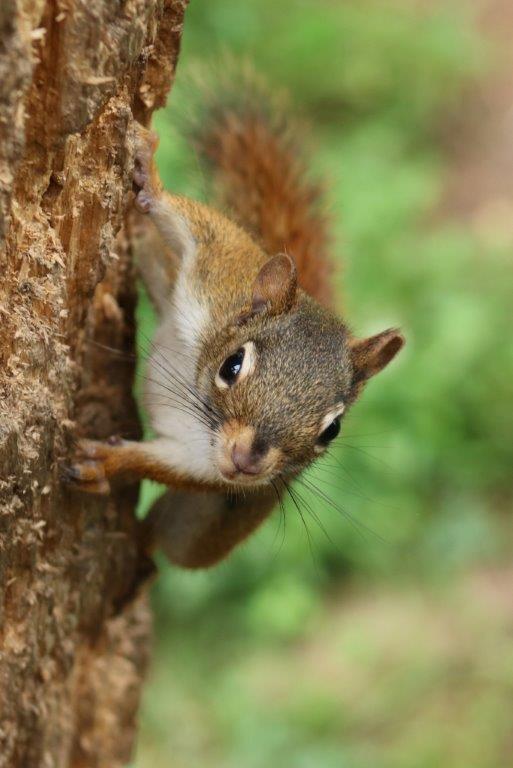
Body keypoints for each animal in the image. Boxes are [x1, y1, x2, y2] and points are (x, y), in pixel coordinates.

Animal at [69, 78, 404, 568]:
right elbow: (196, 223)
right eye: (232, 365)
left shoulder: (200, 464)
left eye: (332, 430)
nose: (247, 461)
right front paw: (150, 180)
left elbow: (159, 464)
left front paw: (106, 463)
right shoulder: (218, 275)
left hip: (203, 529)